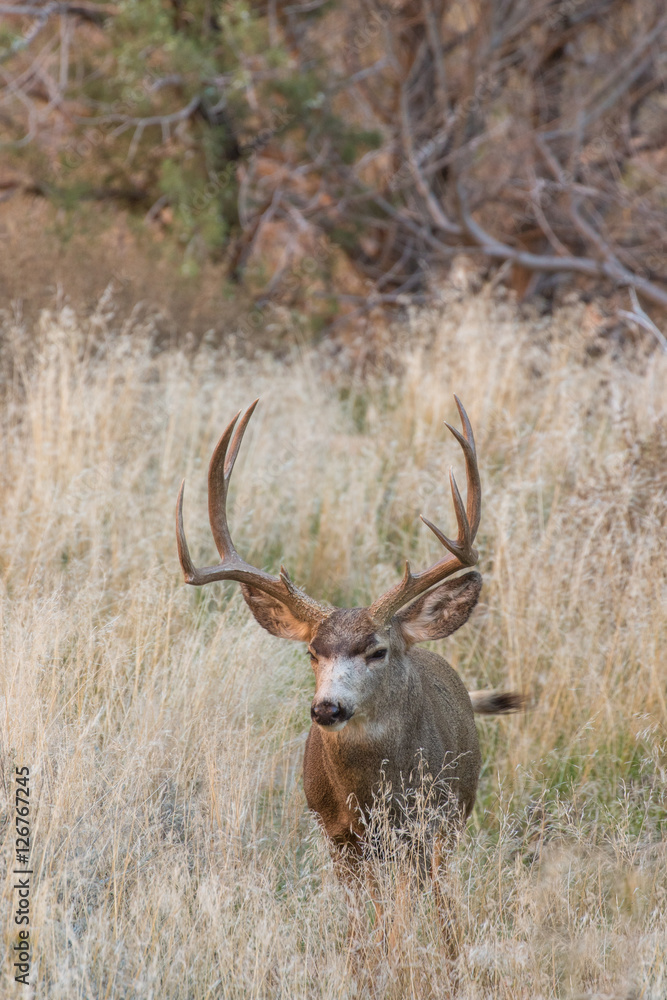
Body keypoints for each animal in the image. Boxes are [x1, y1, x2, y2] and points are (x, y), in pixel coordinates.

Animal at [175, 396, 523, 958]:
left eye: (377, 650)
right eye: (312, 653)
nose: (327, 707)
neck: (371, 795)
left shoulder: (422, 828)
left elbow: (404, 918)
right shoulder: (338, 835)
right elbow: (363, 929)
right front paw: (369, 963)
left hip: (450, 822)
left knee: (442, 901)